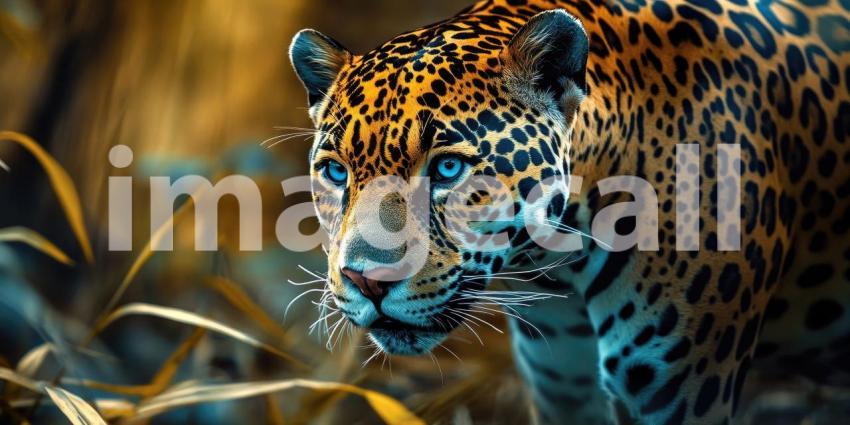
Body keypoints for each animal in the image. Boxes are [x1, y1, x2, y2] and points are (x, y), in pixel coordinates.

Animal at [287, 0, 850, 423]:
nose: (368, 281)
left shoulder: (680, 388)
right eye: (336, 172)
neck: (561, 262)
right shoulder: (562, 387)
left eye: (447, 168)